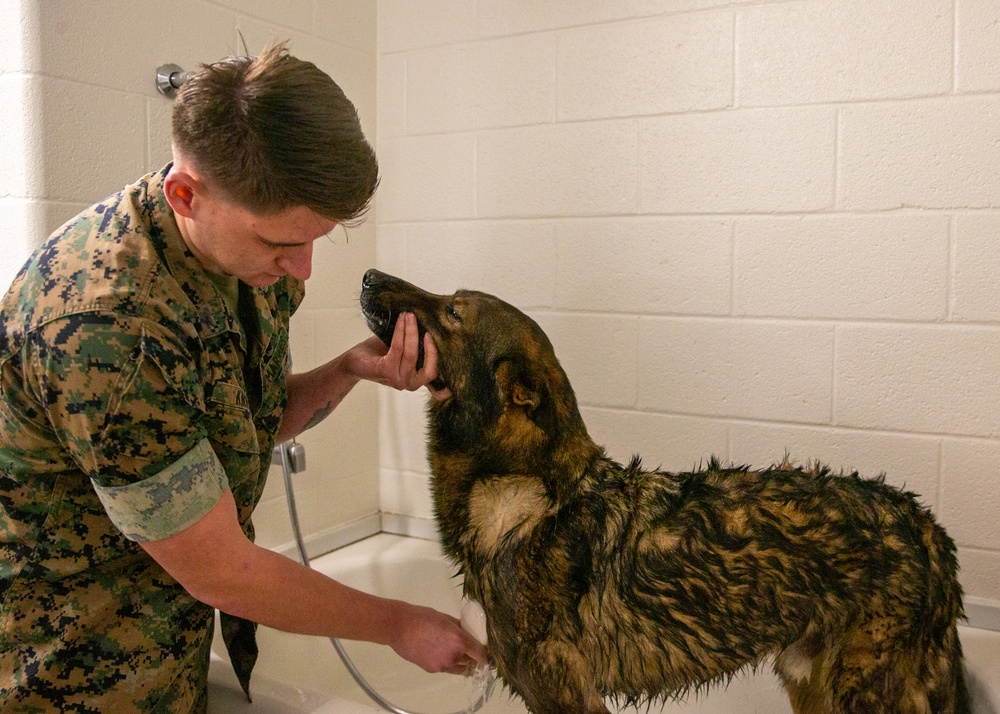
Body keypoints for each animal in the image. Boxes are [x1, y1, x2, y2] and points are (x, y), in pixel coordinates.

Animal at [360, 268, 968, 712]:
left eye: (453, 310)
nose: (368, 274)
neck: (521, 493)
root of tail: (927, 526)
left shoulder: (566, 696)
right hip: (812, 686)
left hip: (862, 695)